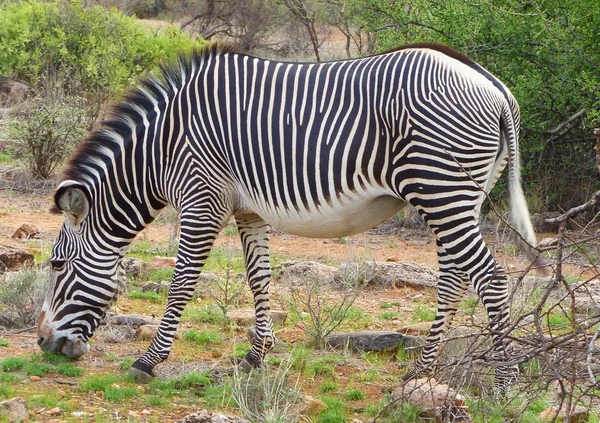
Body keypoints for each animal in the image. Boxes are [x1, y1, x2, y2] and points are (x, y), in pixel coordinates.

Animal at [37, 42, 540, 390]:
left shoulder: (202, 200)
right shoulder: (248, 210)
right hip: (459, 195)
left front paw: (148, 361)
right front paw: (256, 355)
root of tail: (497, 89)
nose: (43, 344)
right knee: (455, 278)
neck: (161, 149)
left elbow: (182, 284)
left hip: (439, 188)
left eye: (57, 264)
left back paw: (504, 384)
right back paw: (420, 371)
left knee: (491, 278)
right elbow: (259, 278)